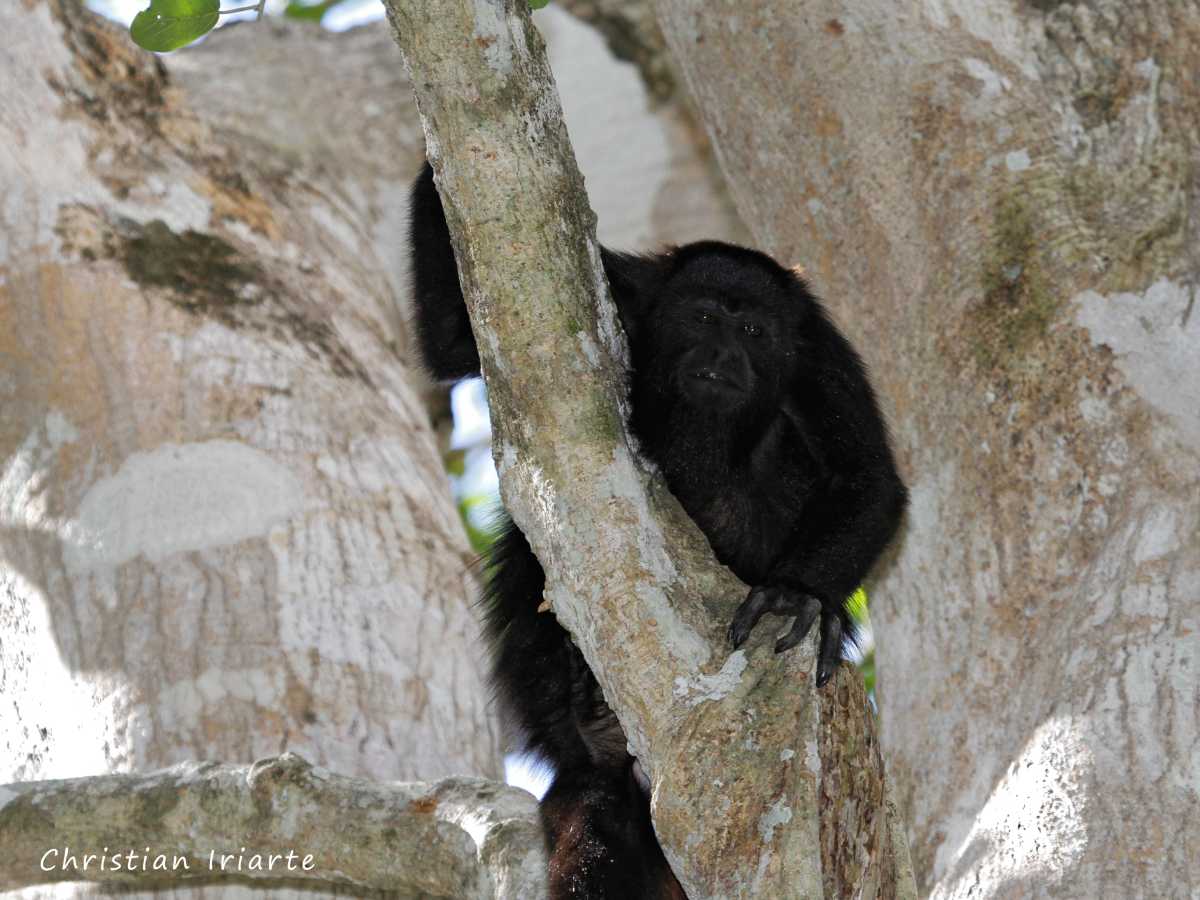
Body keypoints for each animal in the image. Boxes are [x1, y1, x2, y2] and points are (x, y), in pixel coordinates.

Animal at [409, 161, 906, 898]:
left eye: (753, 330)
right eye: (703, 318)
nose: (723, 355)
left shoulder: (821, 352)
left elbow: (868, 478)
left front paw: (795, 594)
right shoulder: (626, 291)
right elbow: (454, 339)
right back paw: (590, 716)